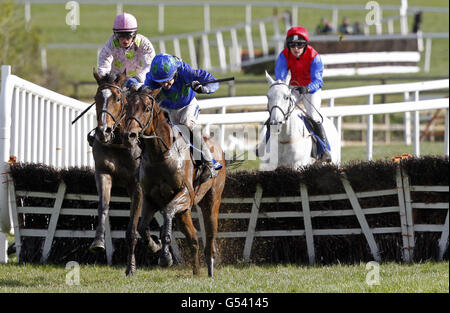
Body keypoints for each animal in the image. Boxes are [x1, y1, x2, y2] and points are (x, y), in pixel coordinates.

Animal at [90, 69, 161, 274]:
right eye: (96, 98)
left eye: (118, 99)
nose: (103, 131)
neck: (118, 142)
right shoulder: (103, 173)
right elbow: (103, 206)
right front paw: (98, 242)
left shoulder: (137, 186)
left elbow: (132, 229)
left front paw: (131, 267)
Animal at [122, 87, 225, 276]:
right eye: (126, 107)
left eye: (147, 109)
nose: (129, 135)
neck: (160, 154)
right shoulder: (149, 198)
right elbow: (142, 227)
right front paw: (155, 246)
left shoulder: (185, 193)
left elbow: (167, 212)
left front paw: (165, 257)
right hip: (184, 212)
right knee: (193, 238)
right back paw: (196, 272)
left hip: (211, 201)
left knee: (210, 237)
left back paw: (210, 270)